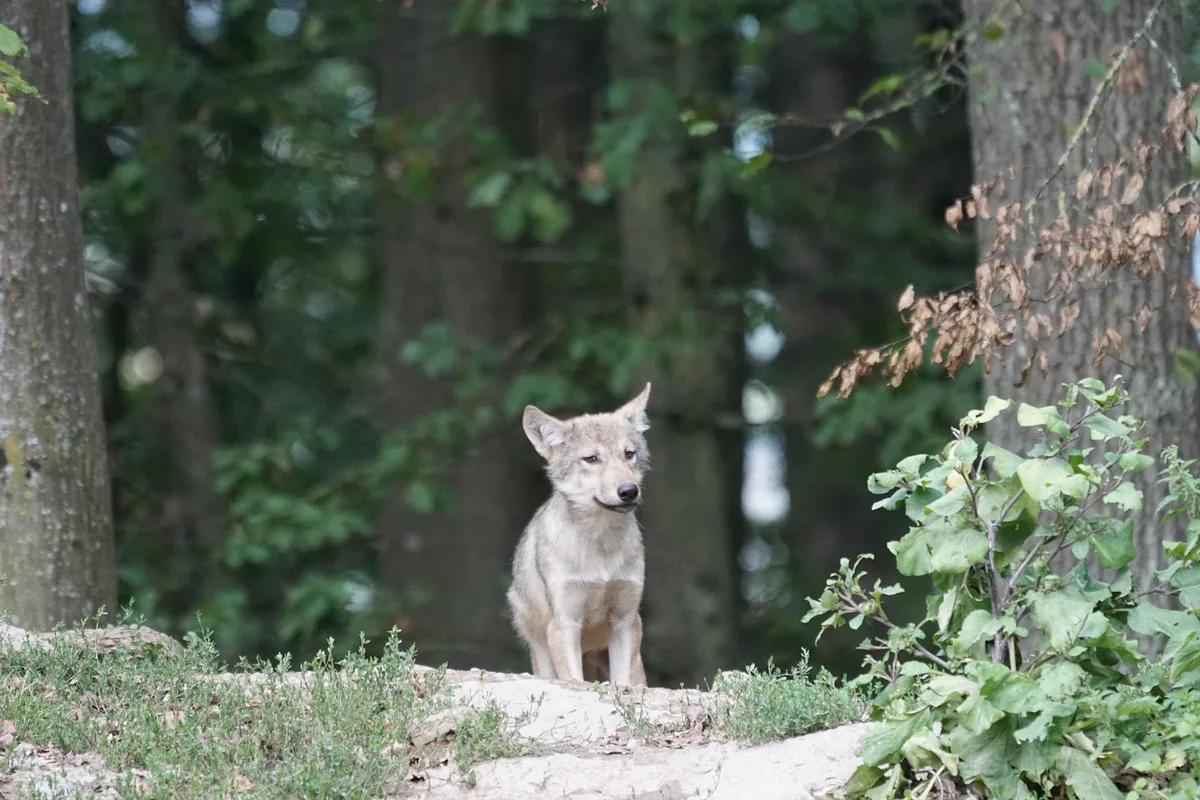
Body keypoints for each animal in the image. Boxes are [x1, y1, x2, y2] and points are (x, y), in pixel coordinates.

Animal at [506, 384, 652, 687]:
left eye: (628, 454)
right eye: (591, 459)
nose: (628, 491)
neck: (600, 546)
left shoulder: (626, 619)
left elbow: (622, 683)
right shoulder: (564, 623)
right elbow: (574, 679)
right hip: (543, 653)